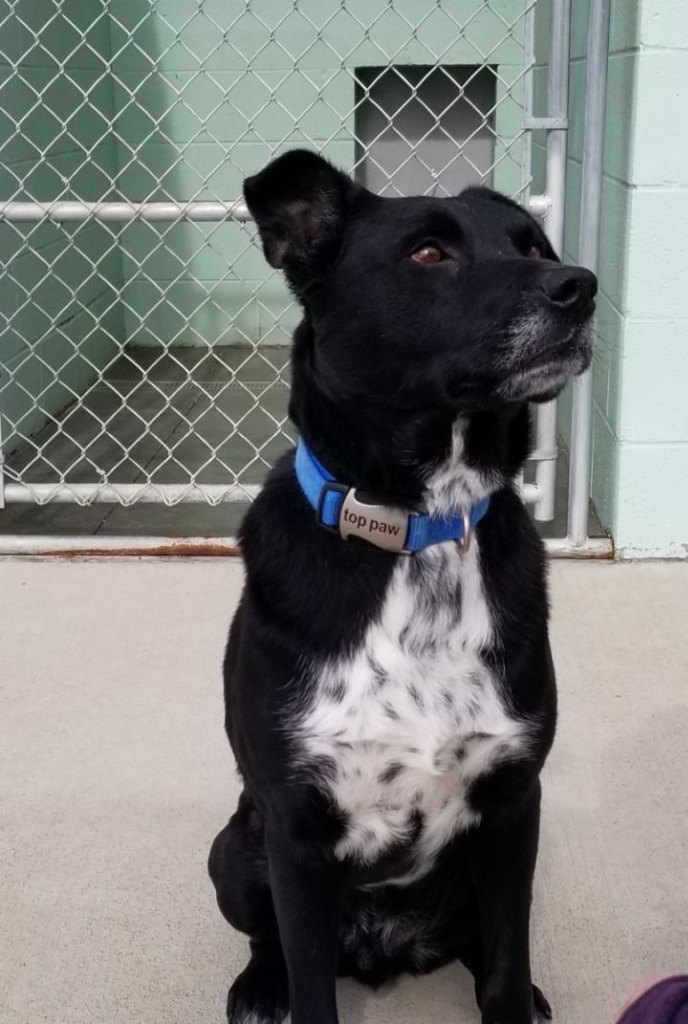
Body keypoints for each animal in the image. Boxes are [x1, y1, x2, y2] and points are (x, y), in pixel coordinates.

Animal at [207, 146, 597, 1024]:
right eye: (428, 254)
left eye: (533, 246)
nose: (580, 286)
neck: (424, 531)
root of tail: (388, 948)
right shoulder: (295, 828)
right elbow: (310, 982)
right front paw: (284, 988)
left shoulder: (515, 804)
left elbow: (503, 969)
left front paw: (518, 996)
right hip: (234, 852)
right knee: (268, 940)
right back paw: (258, 986)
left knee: (485, 947)